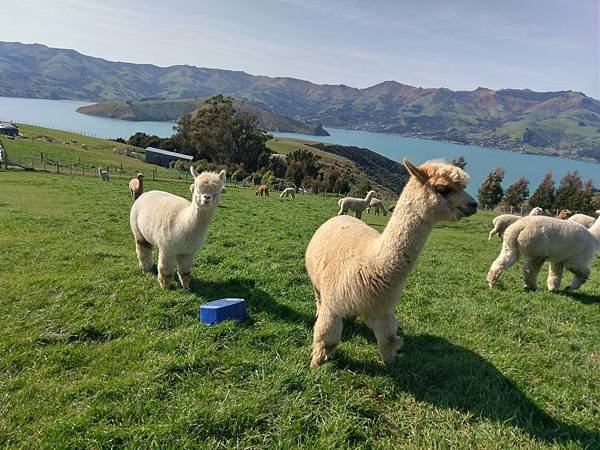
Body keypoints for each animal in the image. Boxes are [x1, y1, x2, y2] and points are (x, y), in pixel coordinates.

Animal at [304, 160, 478, 368]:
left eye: (464, 187)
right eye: (443, 188)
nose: (474, 204)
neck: (370, 261)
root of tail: (341, 216)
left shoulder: (381, 309)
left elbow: (388, 340)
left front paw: (391, 365)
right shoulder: (333, 304)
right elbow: (327, 339)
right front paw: (316, 363)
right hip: (317, 282)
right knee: (318, 298)